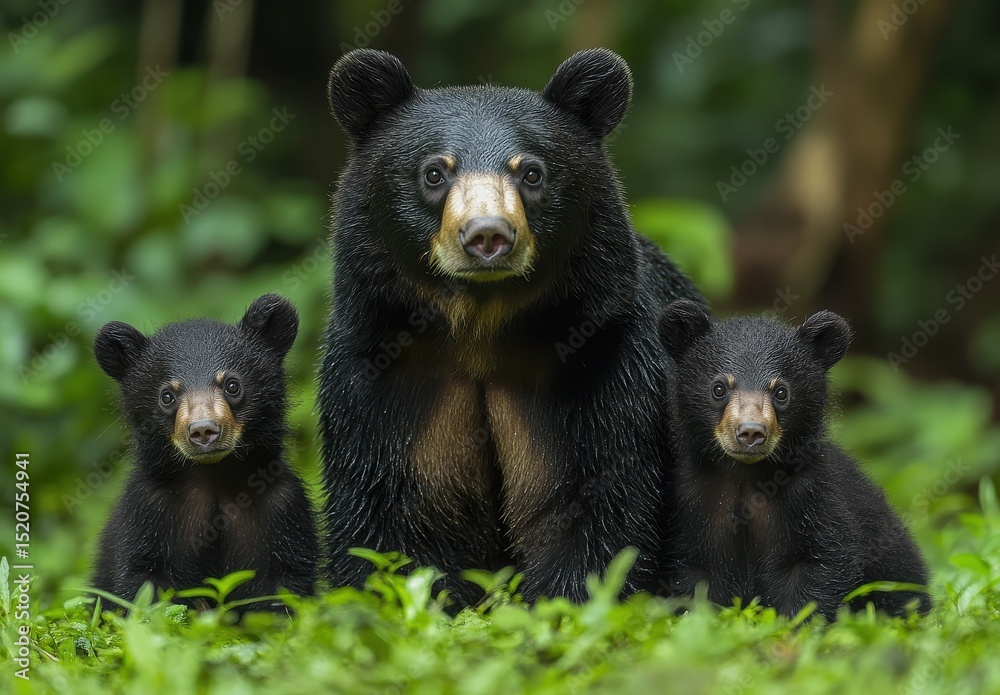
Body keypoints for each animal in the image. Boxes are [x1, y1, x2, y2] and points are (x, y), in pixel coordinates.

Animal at [91, 294, 318, 612]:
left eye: (232, 384)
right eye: (167, 395)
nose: (202, 431)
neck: (213, 476)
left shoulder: (285, 509)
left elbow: (286, 584)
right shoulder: (146, 512)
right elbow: (143, 584)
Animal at [319, 47, 704, 607]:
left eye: (532, 173)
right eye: (434, 172)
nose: (487, 235)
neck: (480, 327)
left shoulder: (602, 360)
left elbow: (595, 501)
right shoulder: (382, 372)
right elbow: (388, 511)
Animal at [658, 299, 931, 619]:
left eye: (781, 391)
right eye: (719, 388)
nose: (751, 432)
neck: (748, 477)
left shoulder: (813, 498)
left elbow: (820, 565)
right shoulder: (694, 504)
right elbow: (693, 574)